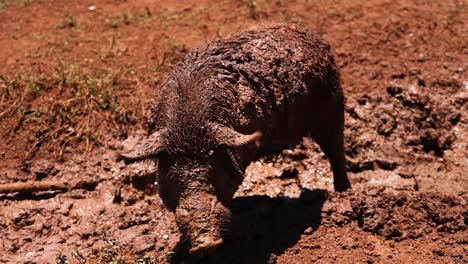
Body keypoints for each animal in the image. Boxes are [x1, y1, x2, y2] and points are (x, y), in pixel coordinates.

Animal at [120, 23, 352, 255]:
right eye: (171, 173)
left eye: (213, 168)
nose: (205, 244)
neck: (188, 120)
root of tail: (314, 36)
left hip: (332, 104)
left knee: (336, 151)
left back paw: (343, 193)